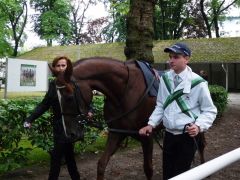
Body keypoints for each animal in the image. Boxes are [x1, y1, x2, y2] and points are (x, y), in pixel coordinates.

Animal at [55, 57, 205, 179]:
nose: (70, 134)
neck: (123, 92)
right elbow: (101, 164)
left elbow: (148, 169)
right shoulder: (116, 133)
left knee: (201, 145)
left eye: (69, 97)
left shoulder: (146, 136)